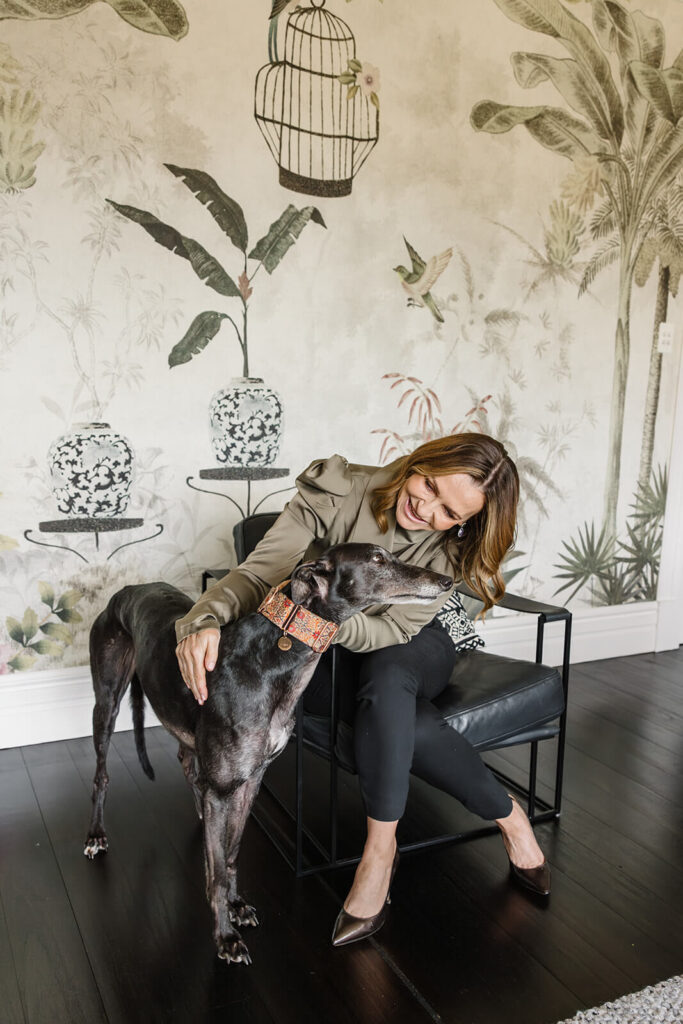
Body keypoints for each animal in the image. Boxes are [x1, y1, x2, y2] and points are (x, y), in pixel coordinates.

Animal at [82, 548, 450, 962]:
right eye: (376, 559)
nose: (446, 581)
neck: (271, 660)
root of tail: (128, 589)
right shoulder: (224, 788)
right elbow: (218, 875)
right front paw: (225, 938)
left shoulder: (250, 781)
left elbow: (230, 854)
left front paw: (237, 906)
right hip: (106, 701)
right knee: (101, 773)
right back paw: (96, 835)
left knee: (187, 764)